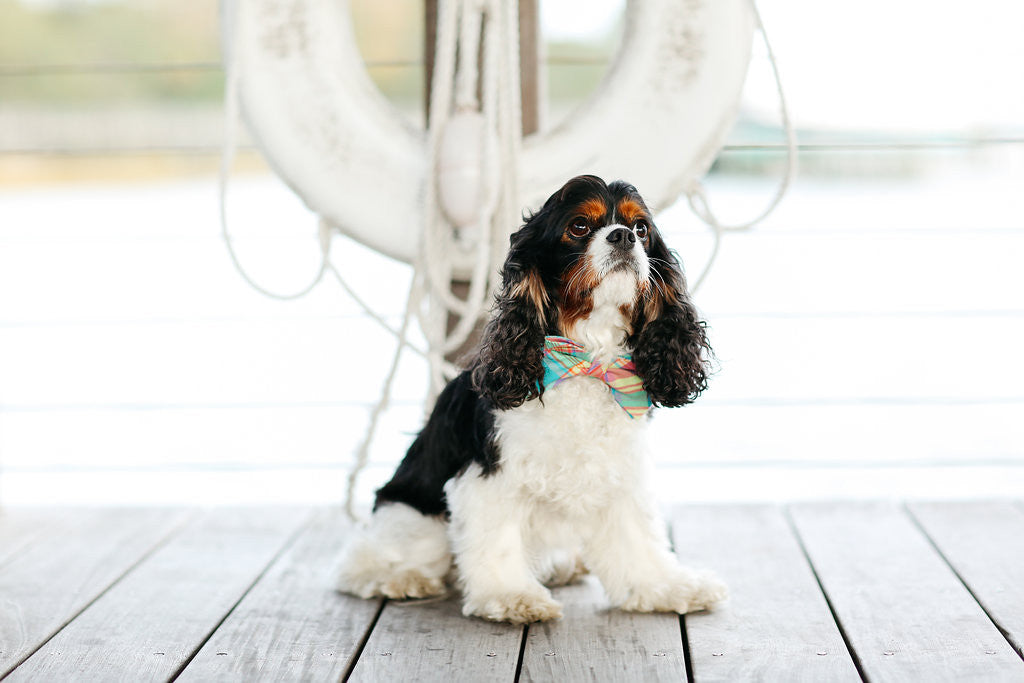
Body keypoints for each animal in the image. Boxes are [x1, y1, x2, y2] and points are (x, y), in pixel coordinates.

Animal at [337, 174, 729, 622]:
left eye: (642, 228)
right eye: (579, 226)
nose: (623, 236)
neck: (587, 358)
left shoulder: (620, 474)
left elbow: (638, 543)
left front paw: (667, 587)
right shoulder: (491, 477)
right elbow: (499, 542)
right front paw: (512, 596)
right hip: (414, 516)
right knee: (361, 561)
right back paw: (403, 579)